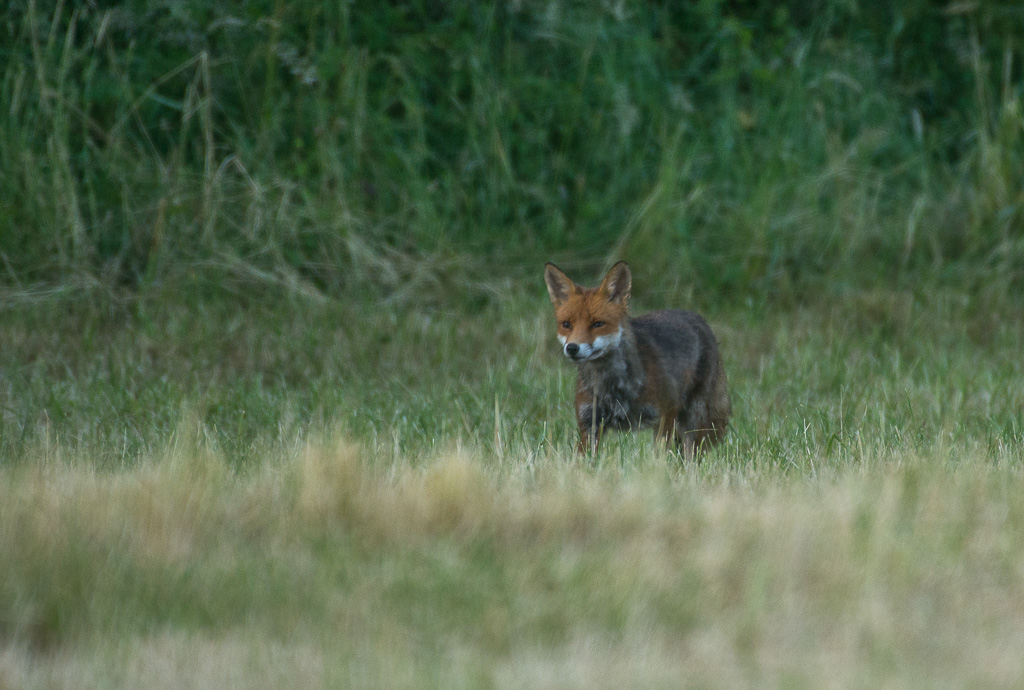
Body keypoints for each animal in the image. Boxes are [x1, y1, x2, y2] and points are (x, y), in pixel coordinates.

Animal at [544, 261, 731, 459]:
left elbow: (659, 458)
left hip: (693, 421)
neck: (612, 386)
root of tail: (698, 319)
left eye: (598, 324)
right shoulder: (589, 423)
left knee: (691, 456)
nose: (572, 348)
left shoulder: (666, 414)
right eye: (566, 324)